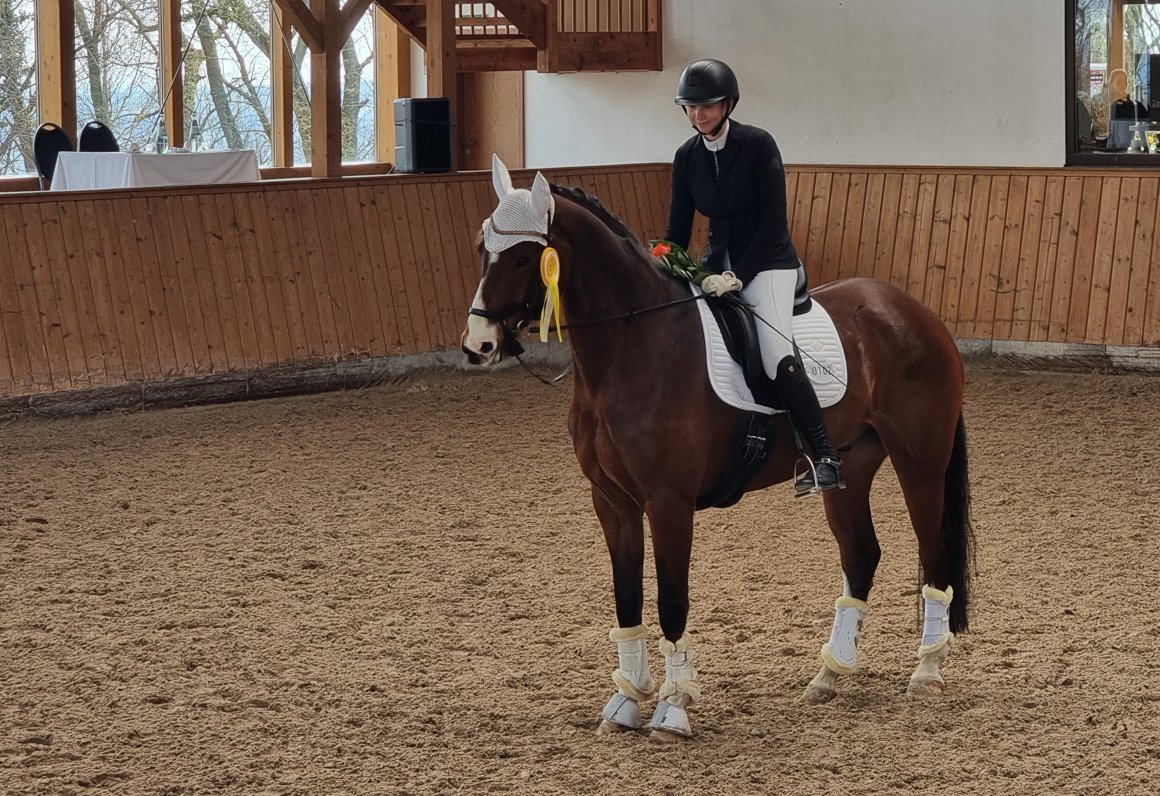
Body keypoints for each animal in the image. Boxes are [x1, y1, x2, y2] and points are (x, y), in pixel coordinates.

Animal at [457, 158, 974, 747]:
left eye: (524, 256)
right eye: (482, 247)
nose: (478, 345)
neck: (632, 348)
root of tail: (914, 311)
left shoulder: (668, 502)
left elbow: (672, 599)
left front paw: (673, 709)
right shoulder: (612, 501)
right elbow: (627, 596)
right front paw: (625, 704)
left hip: (921, 461)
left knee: (934, 551)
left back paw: (926, 671)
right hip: (850, 466)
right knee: (862, 554)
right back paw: (828, 677)